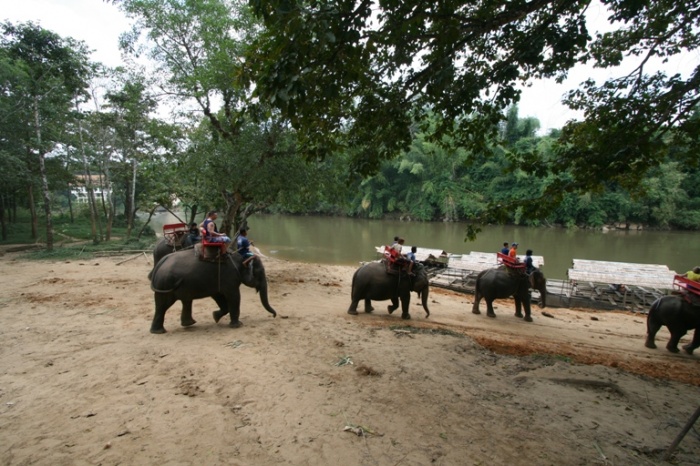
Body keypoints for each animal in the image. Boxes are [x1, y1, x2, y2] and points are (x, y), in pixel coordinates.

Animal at [148, 249, 276, 334]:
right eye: (259, 272)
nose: (274, 315)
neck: (239, 258)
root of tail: (161, 262)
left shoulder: (217, 282)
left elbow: (218, 296)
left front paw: (215, 317)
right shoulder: (229, 277)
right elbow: (234, 296)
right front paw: (238, 325)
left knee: (182, 301)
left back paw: (186, 324)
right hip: (165, 284)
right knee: (163, 305)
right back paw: (160, 331)